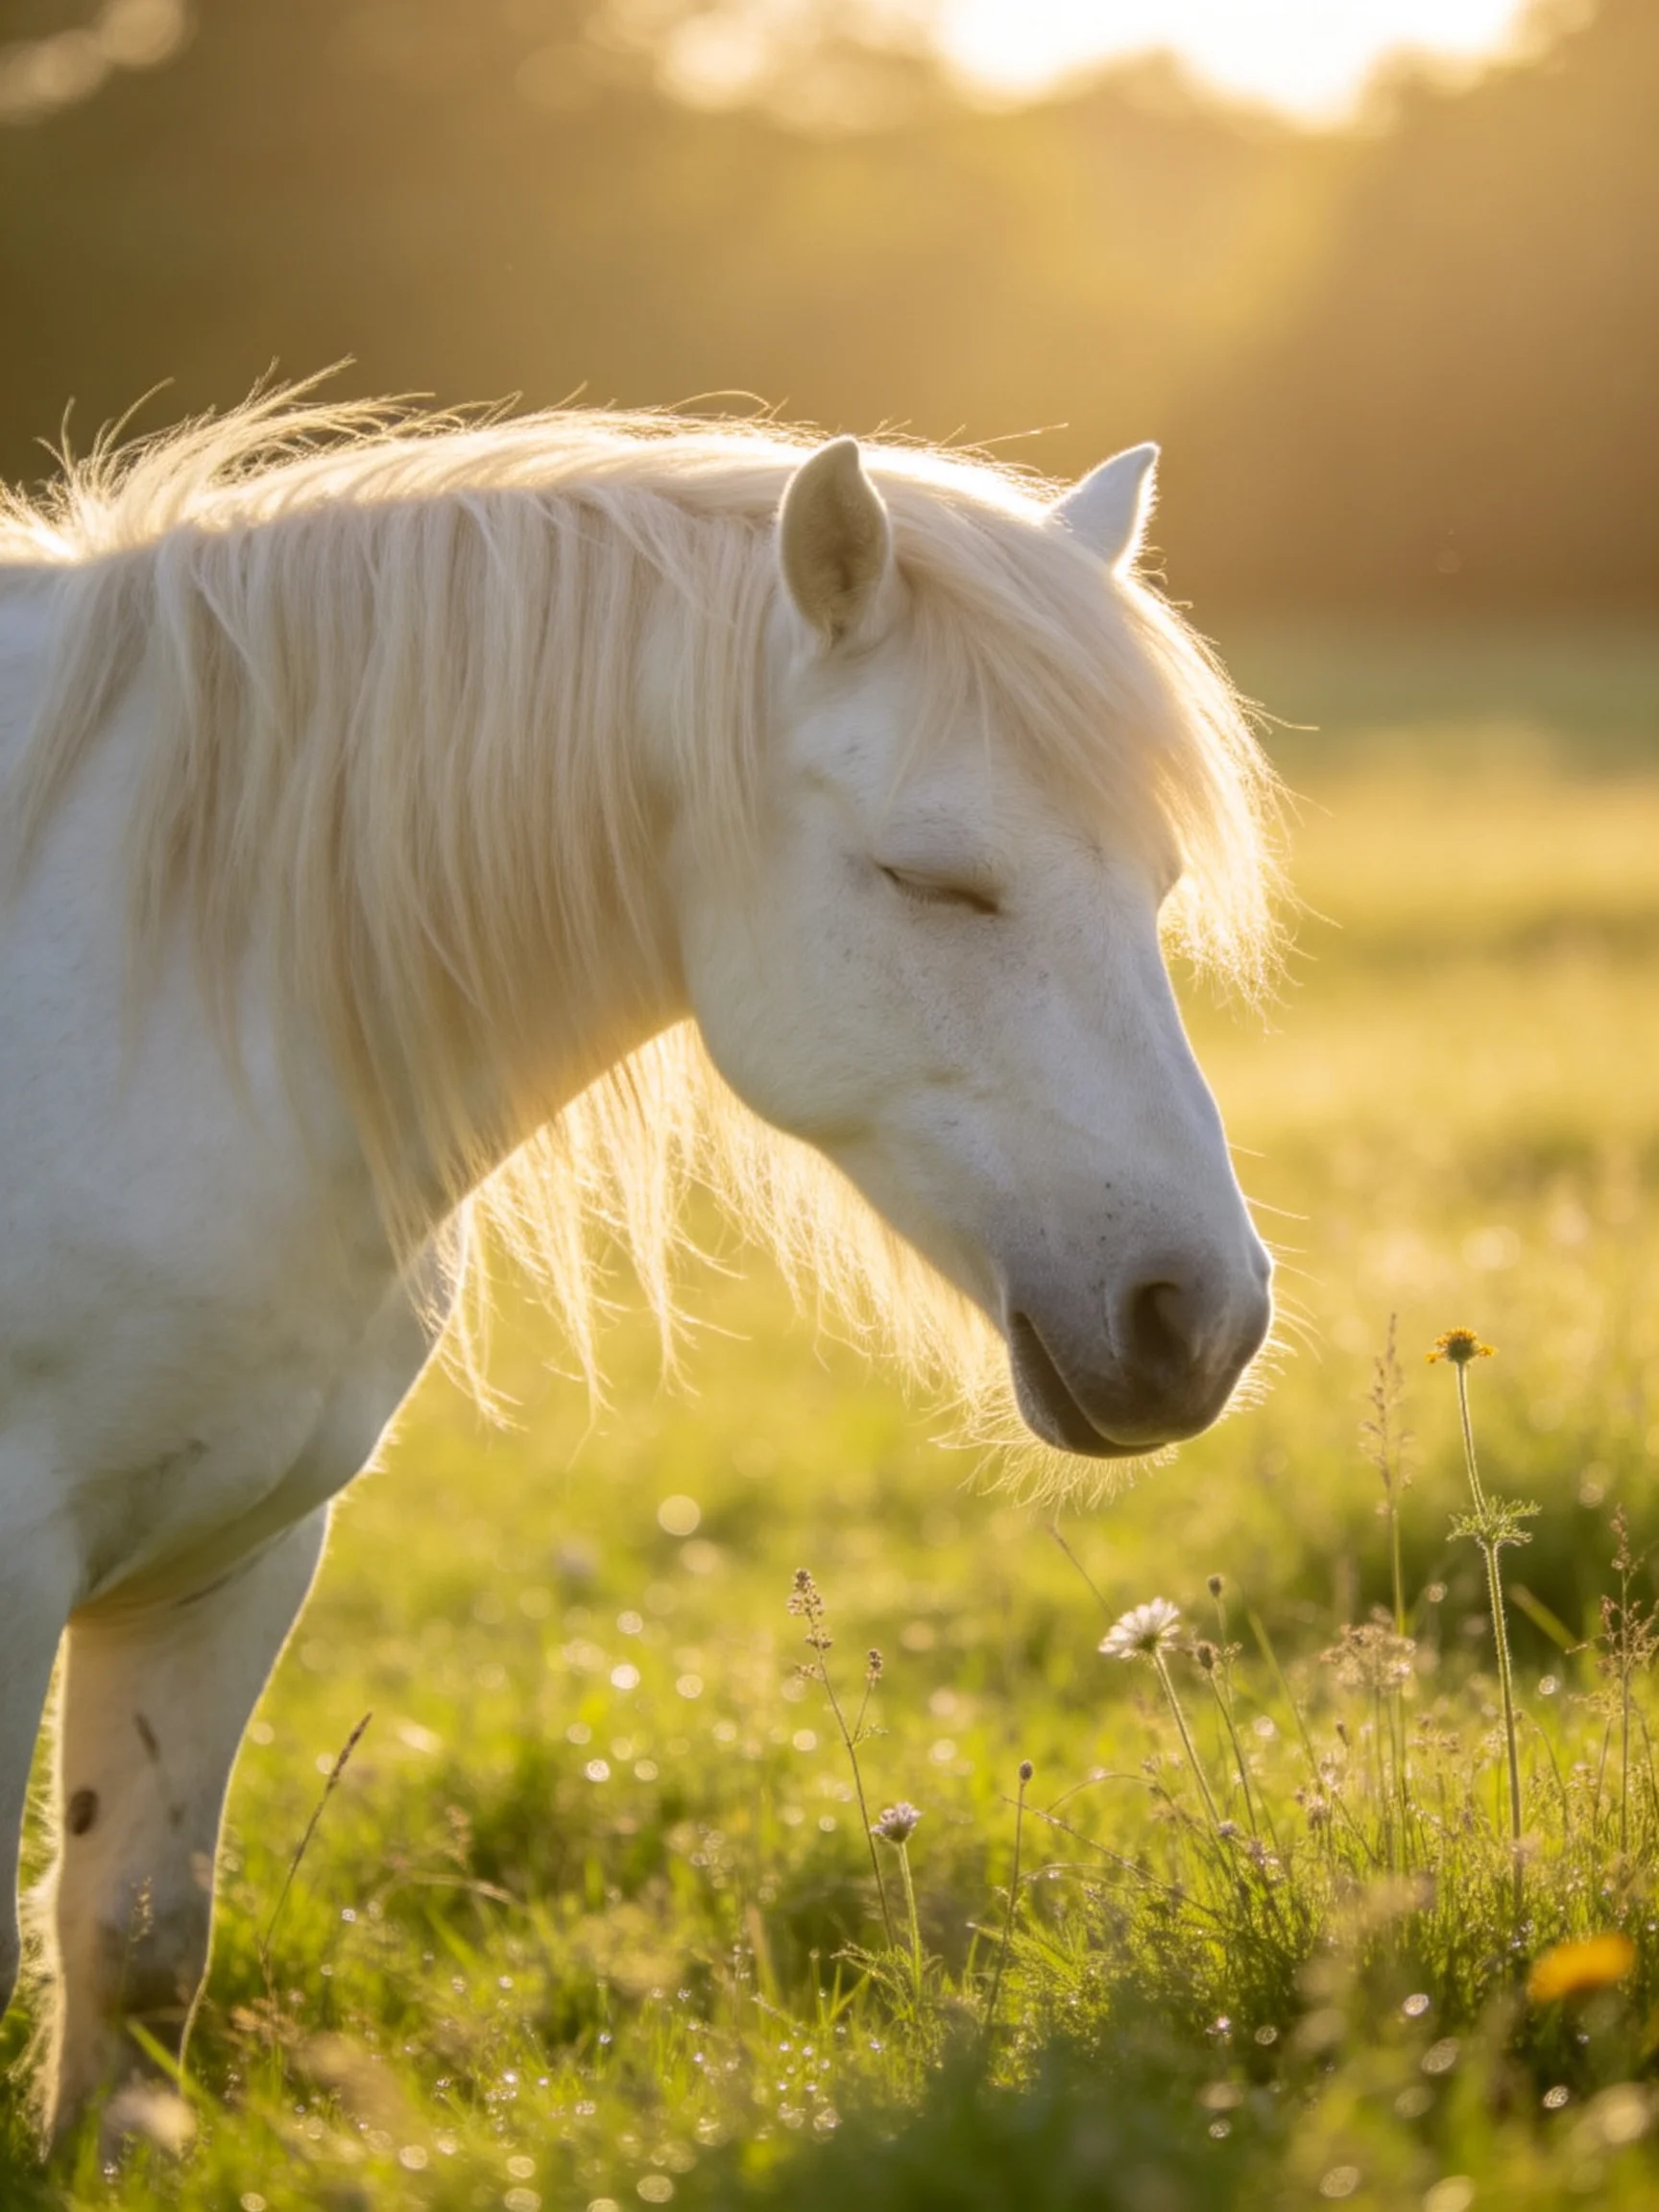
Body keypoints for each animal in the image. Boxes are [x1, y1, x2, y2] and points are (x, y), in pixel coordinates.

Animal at [0, 388, 1278, 2137]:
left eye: (1153, 887)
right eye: (934, 876)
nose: (1195, 1320)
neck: (170, 992)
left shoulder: (226, 1553)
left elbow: (134, 1950)